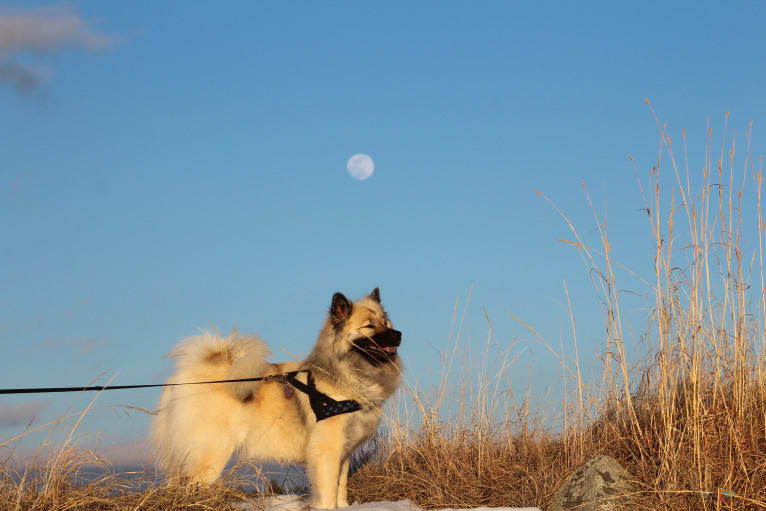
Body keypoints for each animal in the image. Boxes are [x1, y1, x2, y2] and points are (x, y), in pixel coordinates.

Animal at [149, 290, 402, 510]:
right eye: (369, 325)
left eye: (386, 323)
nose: (398, 334)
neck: (345, 374)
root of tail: (183, 376)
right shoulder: (327, 451)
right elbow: (329, 491)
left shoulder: (344, 452)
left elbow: (341, 487)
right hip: (212, 452)